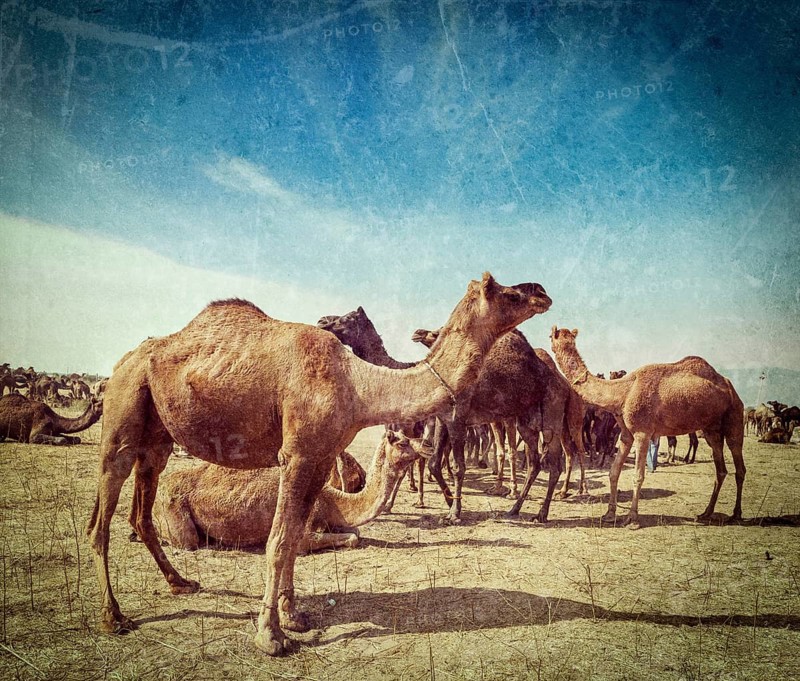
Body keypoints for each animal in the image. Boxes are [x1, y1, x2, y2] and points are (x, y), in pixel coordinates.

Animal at [155, 430, 430, 552]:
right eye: (402, 442)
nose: (427, 444)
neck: (332, 500)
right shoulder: (305, 533)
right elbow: (352, 538)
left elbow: (356, 531)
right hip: (176, 516)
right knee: (188, 541)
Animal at [550, 327, 746, 528]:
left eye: (552, 337)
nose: (555, 344)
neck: (623, 391)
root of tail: (730, 387)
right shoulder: (626, 434)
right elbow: (613, 472)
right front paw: (609, 514)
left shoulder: (642, 433)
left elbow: (638, 476)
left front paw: (632, 519)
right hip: (711, 429)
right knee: (720, 468)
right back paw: (706, 513)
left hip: (735, 416)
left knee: (739, 464)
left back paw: (736, 515)